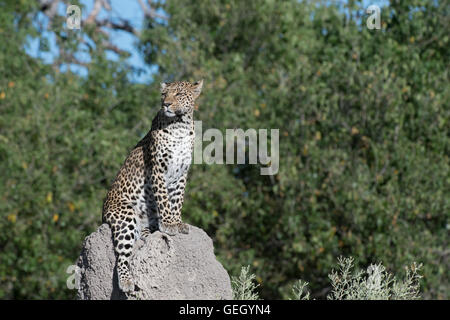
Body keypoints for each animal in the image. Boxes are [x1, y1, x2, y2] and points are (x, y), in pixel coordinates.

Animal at [102, 79, 204, 292]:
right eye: (164, 94)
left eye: (179, 94)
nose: (166, 104)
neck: (180, 126)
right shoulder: (158, 169)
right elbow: (164, 200)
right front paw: (169, 224)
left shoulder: (182, 173)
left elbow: (177, 200)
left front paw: (177, 222)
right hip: (125, 215)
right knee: (122, 256)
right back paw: (127, 282)